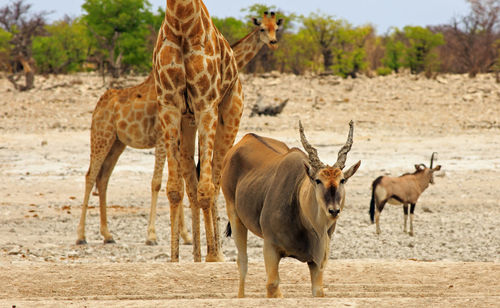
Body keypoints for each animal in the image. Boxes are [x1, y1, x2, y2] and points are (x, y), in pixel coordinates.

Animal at [76, 11, 284, 253]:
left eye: (276, 28)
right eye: (262, 28)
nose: (273, 42)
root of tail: (98, 105)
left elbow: (184, 182)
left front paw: (186, 236)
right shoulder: (161, 138)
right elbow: (158, 182)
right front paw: (153, 236)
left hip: (118, 143)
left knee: (103, 178)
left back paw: (107, 235)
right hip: (101, 136)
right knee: (90, 176)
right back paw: (81, 236)